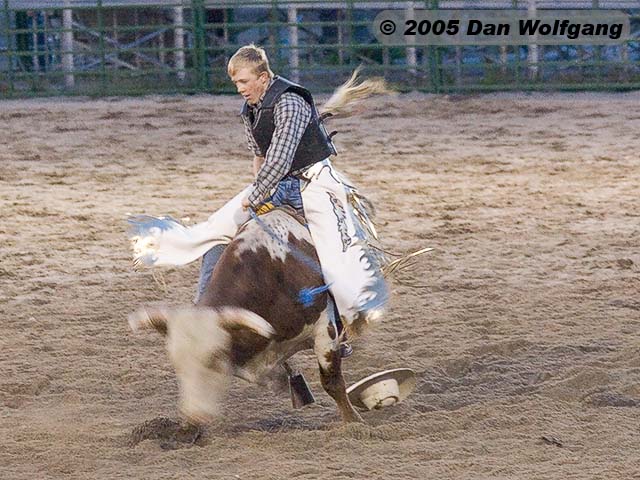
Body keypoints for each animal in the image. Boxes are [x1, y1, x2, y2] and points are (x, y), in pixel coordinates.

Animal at [127, 209, 368, 424]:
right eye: (177, 363)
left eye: (215, 358)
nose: (194, 417)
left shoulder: (324, 331)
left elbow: (332, 382)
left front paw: (353, 421)